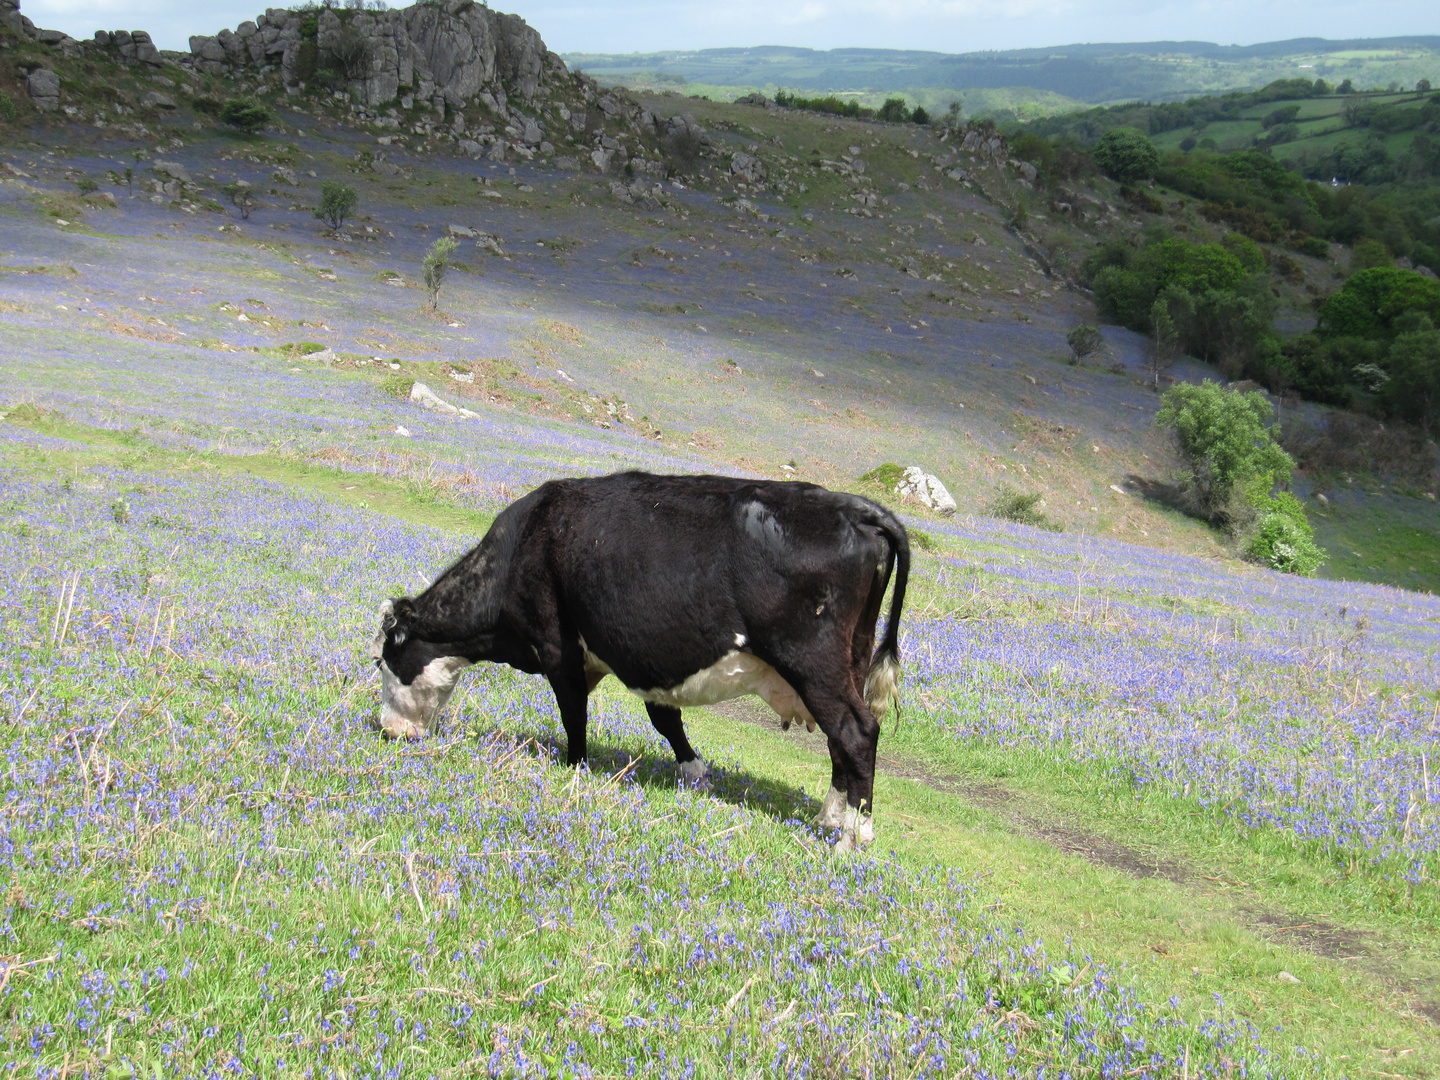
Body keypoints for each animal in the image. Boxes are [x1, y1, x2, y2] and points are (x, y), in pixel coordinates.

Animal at [371, 472, 910, 852]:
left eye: (380, 661)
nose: (388, 730)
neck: (523, 545)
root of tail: (854, 507)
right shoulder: (646, 661)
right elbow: (665, 719)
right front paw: (694, 773)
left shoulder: (558, 650)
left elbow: (574, 716)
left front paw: (575, 768)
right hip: (851, 657)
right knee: (842, 741)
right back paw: (829, 817)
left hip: (813, 663)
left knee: (856, 733)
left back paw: (851, 836)